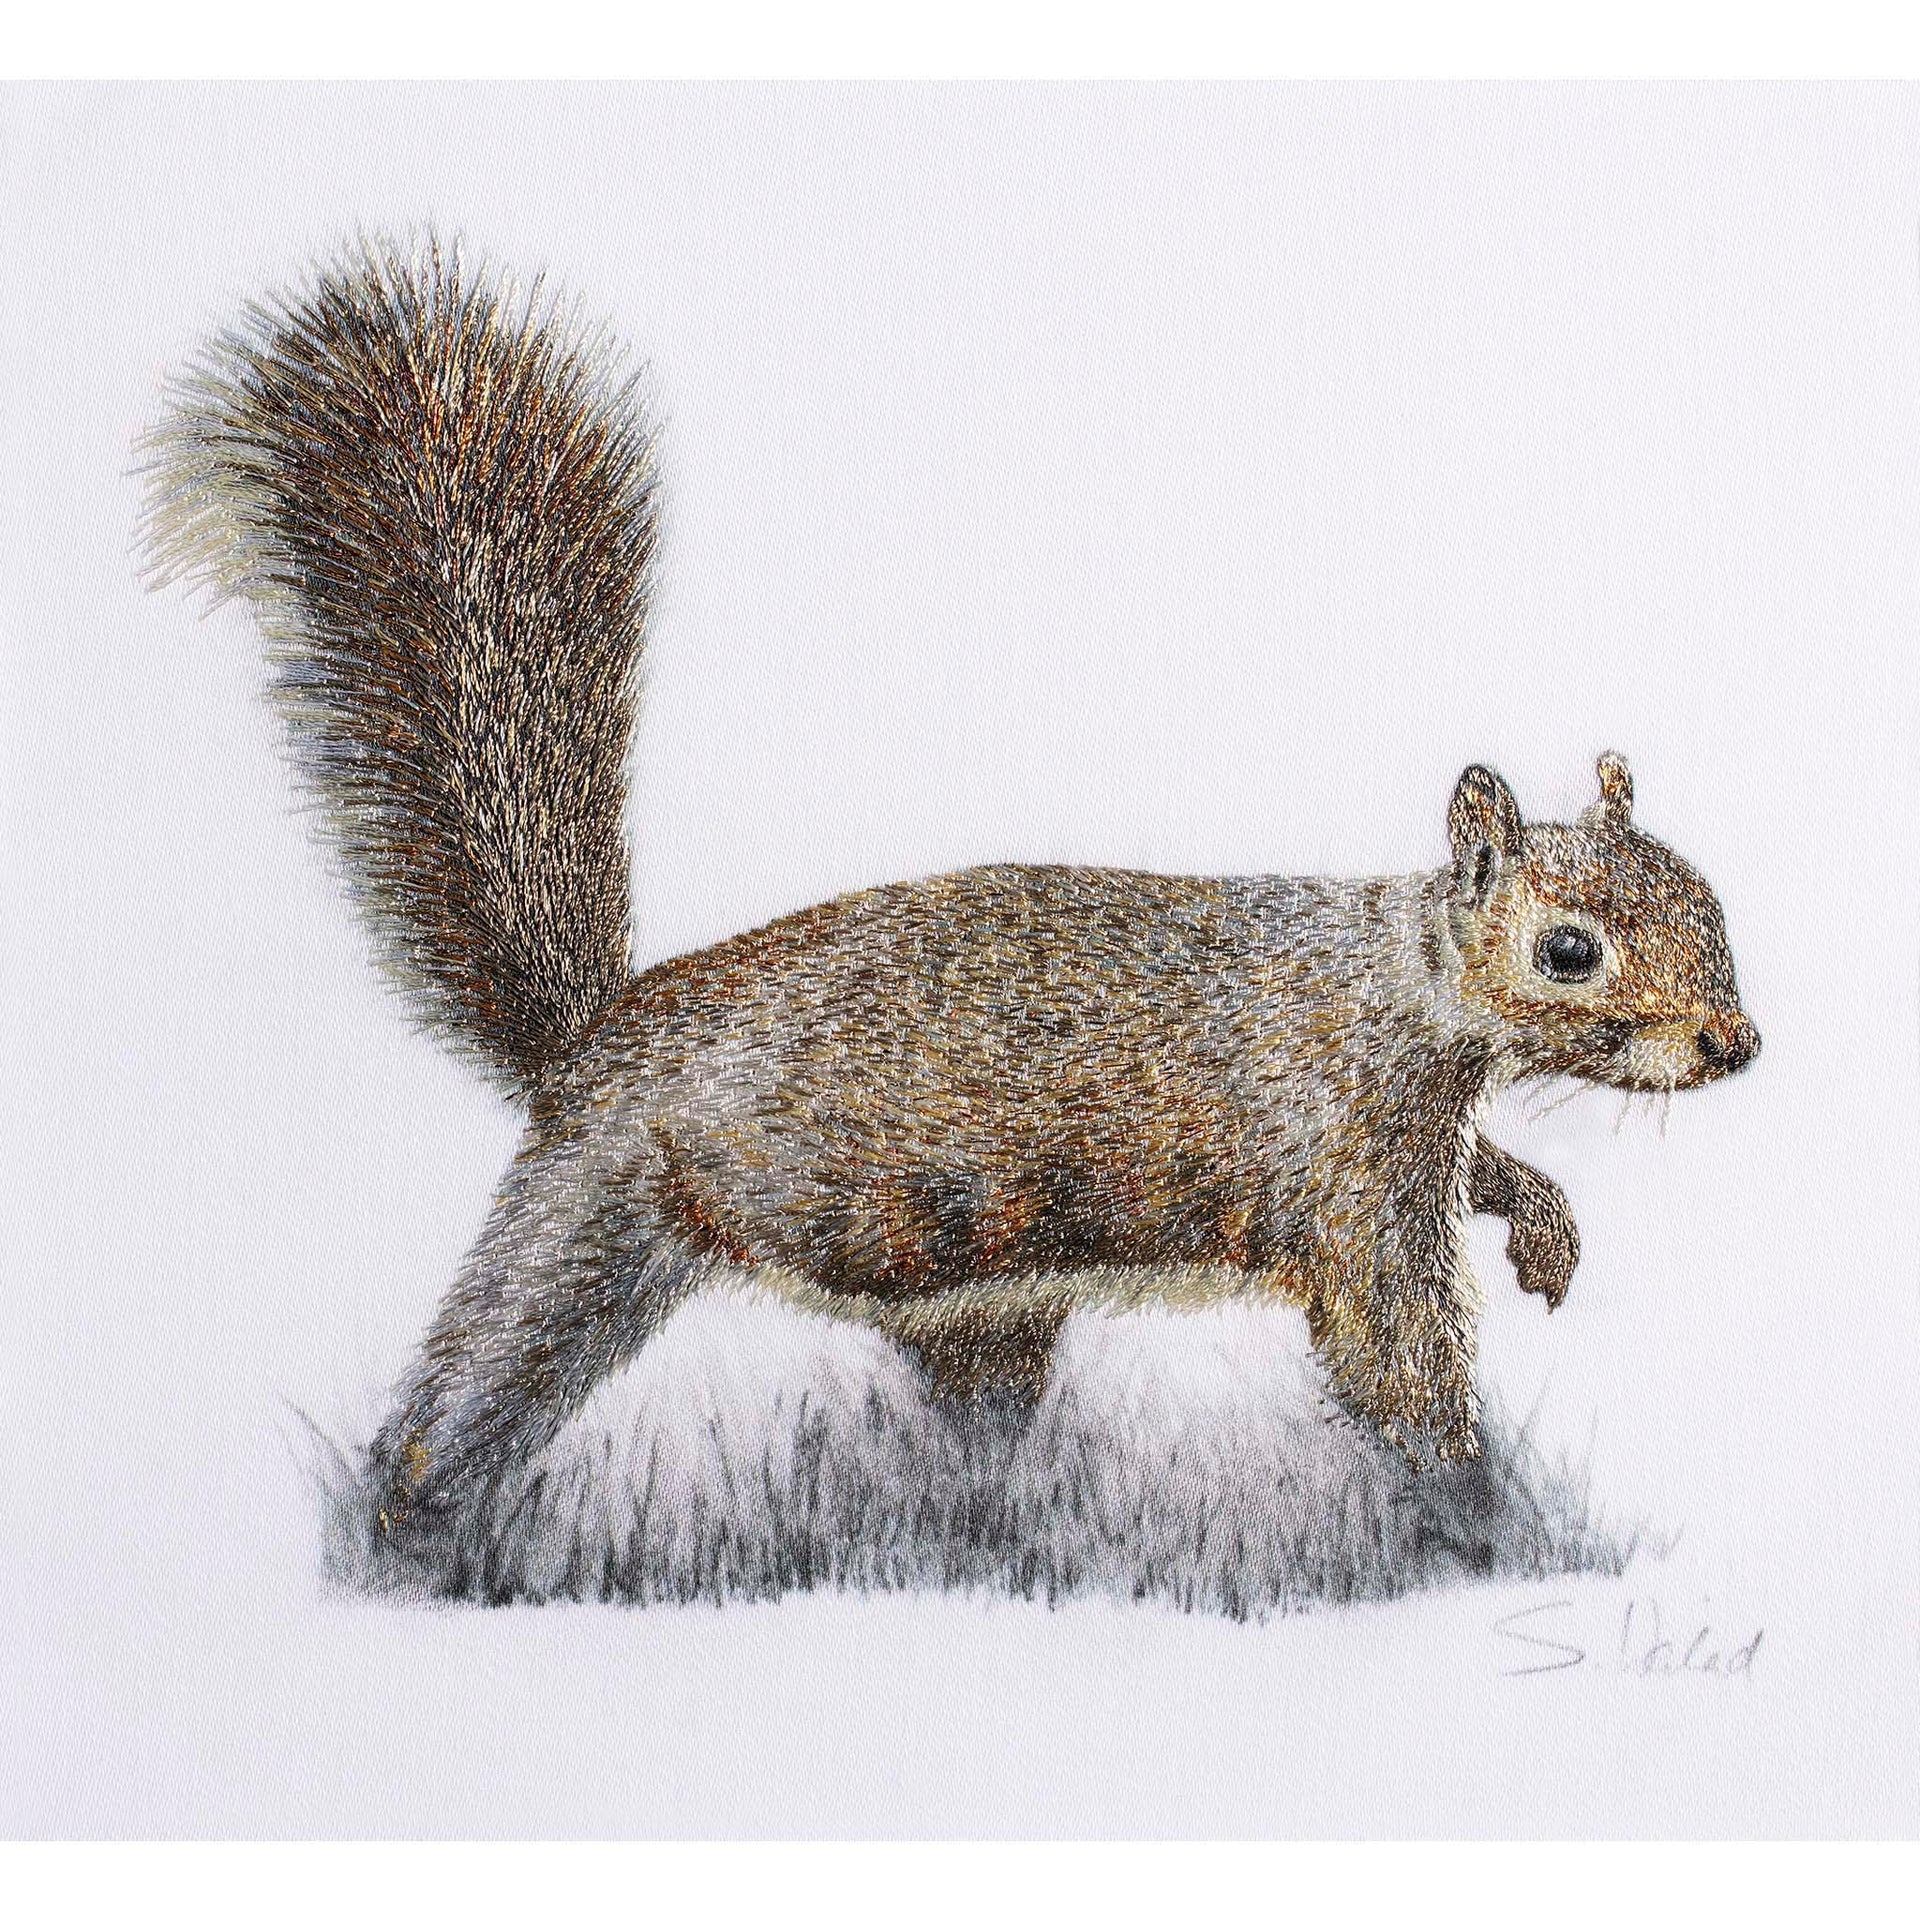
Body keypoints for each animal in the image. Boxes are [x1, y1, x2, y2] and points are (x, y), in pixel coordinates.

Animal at [140, 236, 1761, 1532]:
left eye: (1709, 901)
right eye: (1569, 950)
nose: (1735, 1045)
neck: (1399, 982)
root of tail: (595, 1038)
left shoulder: (1413, 1135)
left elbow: (1485, 1177)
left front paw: (1540, 1221)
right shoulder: (1345, 1154)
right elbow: (1396, 1355)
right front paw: (1471, 1516)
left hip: (982, 1313)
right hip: (588, 1220)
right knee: (471, 1389)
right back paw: (413, 1533)